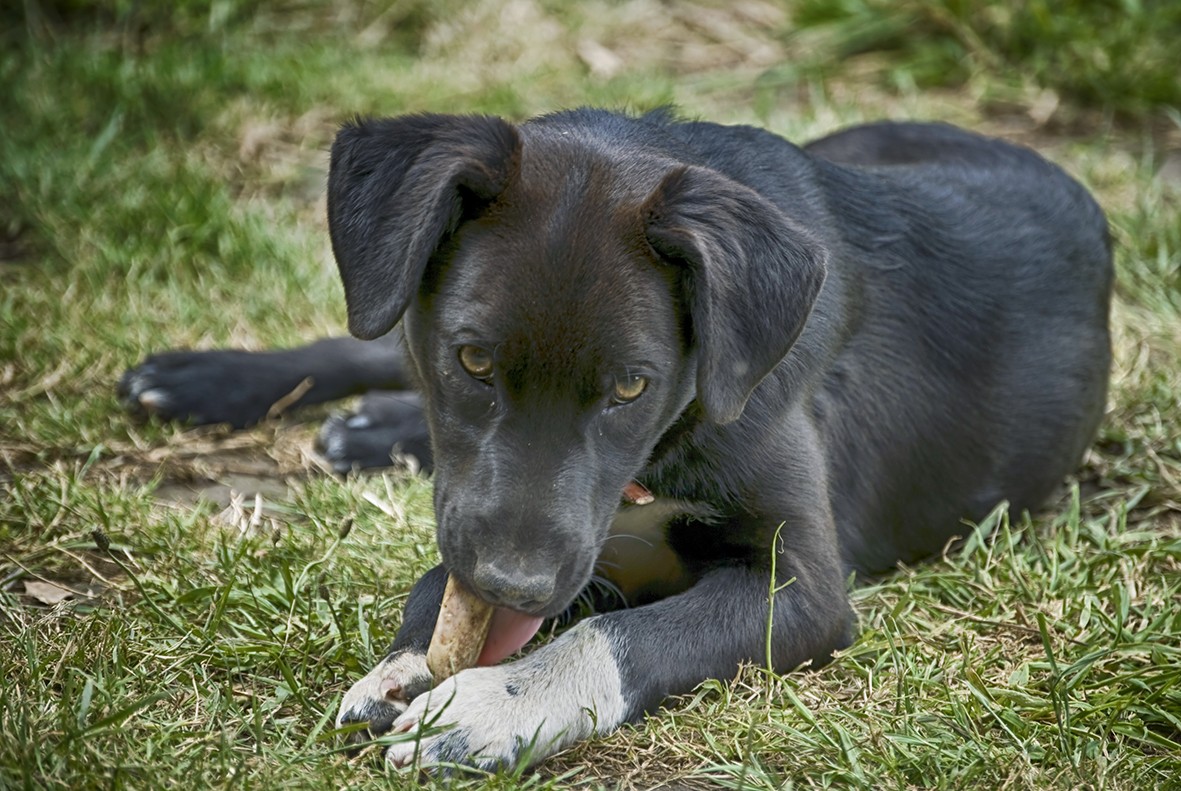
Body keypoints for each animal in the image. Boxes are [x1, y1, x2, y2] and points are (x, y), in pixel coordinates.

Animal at [122, 108, 1114, 769]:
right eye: (472, 359)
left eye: (632, 387)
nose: (514, 585)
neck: (661, 455)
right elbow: (440, 578)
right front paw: (405, 662)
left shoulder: (803, 587)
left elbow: (619, 635)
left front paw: (488, 706)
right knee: (368, 330)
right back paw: (202, 378)